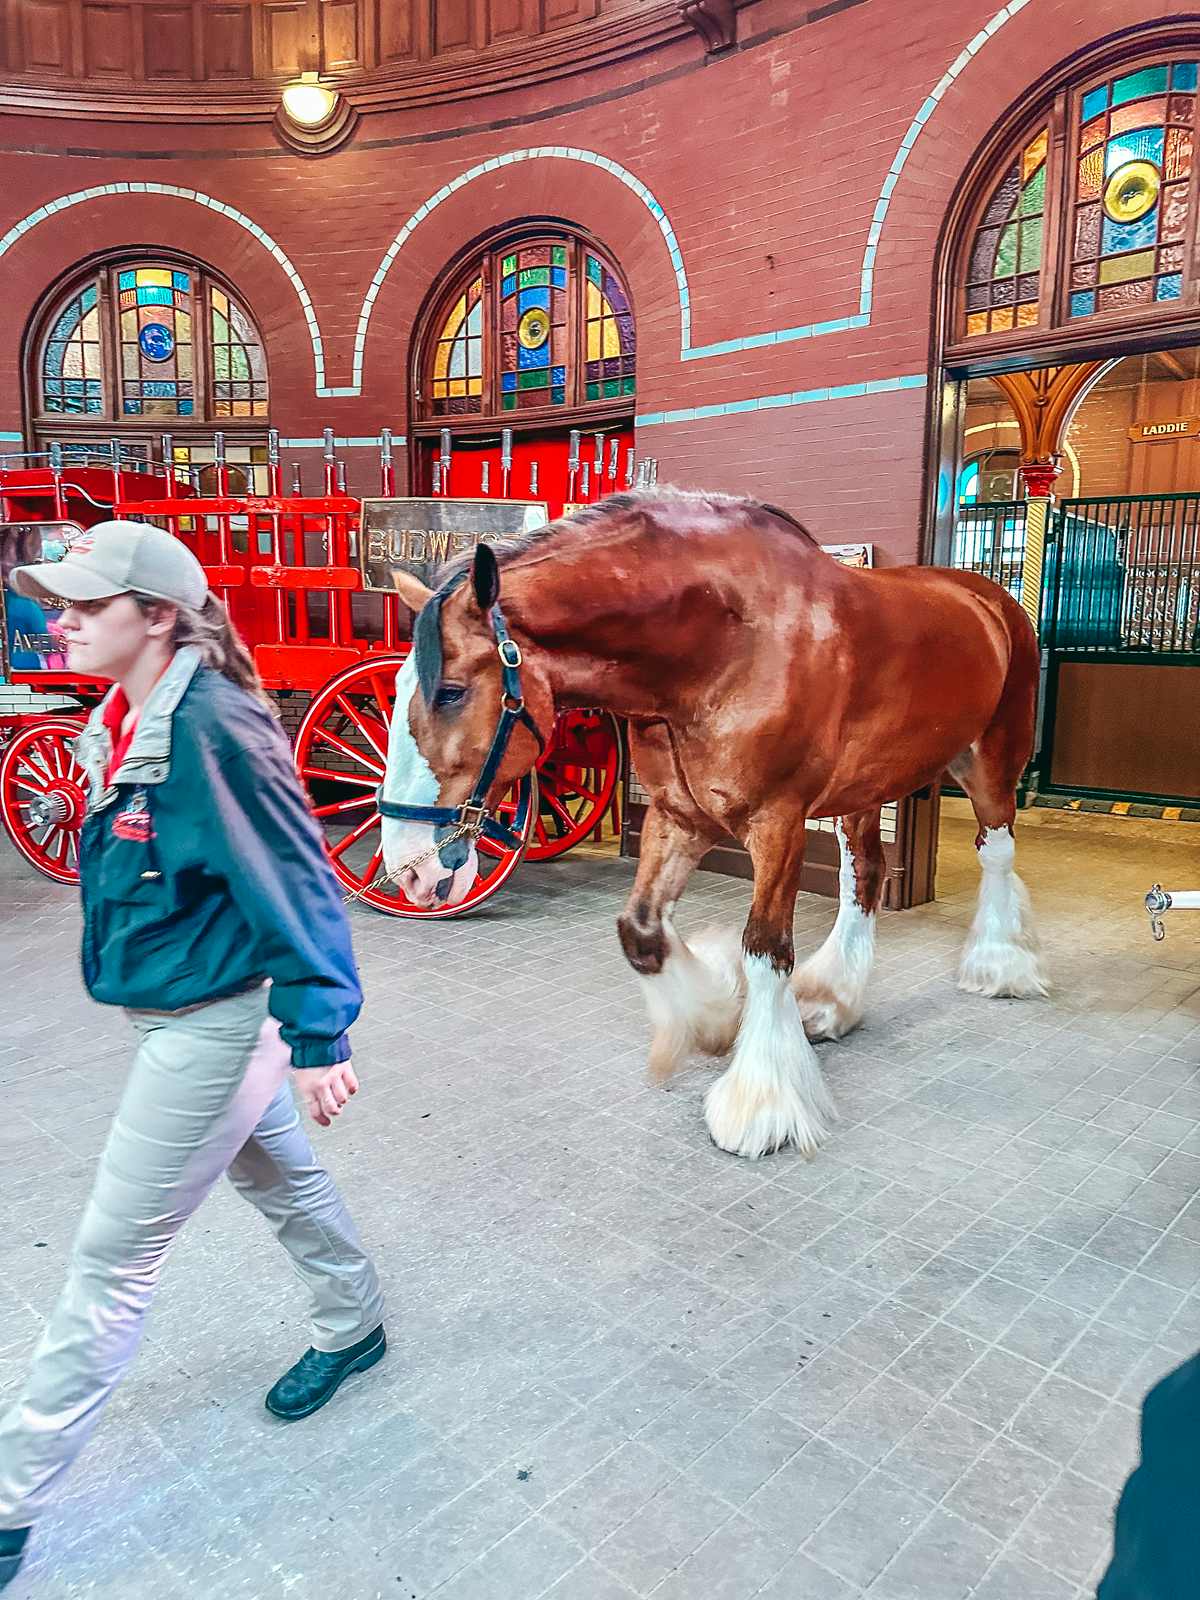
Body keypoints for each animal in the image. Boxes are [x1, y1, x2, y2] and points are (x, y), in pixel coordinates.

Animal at [380, 489, 1049, 1164]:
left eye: (451, 692)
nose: (408, 865)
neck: (726, 644)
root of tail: (989, 601)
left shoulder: (777, 823)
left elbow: (766, 948)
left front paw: (761, 1105)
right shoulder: (677, 817)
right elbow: (641, 933)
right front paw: (714, 1020)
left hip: (991, 761)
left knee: (995, 852)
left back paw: (998, 968)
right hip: (864, 787)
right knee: (865, 873)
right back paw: (831, 1003)